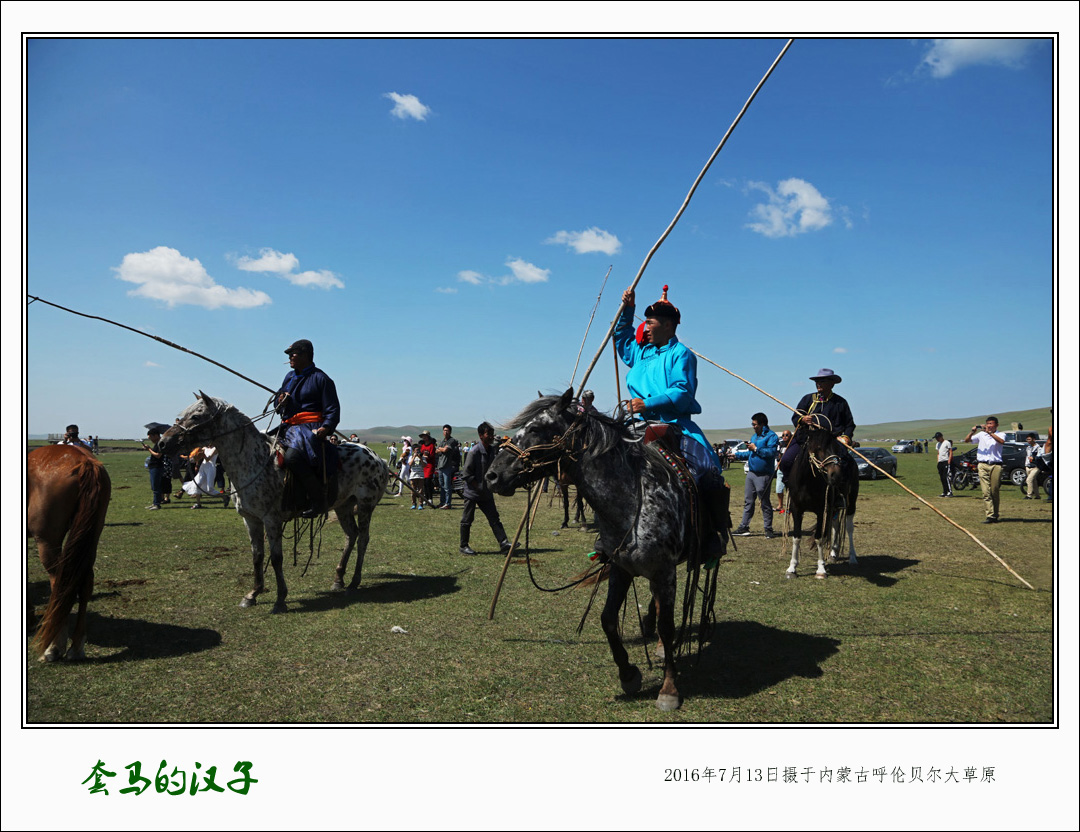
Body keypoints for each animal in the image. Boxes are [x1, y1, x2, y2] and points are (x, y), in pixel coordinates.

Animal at [27, 444, 112, 661]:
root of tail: (84, 461)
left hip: (48, 542)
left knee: (60, 584)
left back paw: (53, 647)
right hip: (90, 537)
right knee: (84, 582)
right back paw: (76, 646)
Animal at [158, 393, 388, 612]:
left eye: (196, 416)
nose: (163, 443)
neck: (254, 461)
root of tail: (377, 458)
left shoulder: (271, 520)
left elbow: (276, 558)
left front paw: (280, 599)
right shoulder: (251, 520)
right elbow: (257, 555)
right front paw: (252, 594)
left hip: (365, 505)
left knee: (363, 539)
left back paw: (353, 582)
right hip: (343, 506)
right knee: (351, 535)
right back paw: (339, 579)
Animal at [486, 389, 703, 711]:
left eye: (536, 428)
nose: (491, 476)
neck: (632, 504)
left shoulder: (663, 570)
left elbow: (666, 625)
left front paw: (669, 690)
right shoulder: (621, 568)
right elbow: (608, 619)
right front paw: (628, 674)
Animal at [783, 426, 859, 579]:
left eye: (836, 448)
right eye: (818, 448)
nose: (836, 475)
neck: (807, 481)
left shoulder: (821, 510)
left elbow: (819, 538)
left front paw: (821, 569)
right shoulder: (796, 509)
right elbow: (796, 537)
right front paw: (792, 568)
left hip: (851, 503)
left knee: (849, 528)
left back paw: (852, 557)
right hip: (833, 507)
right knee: (835, 524)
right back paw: (833, 553)